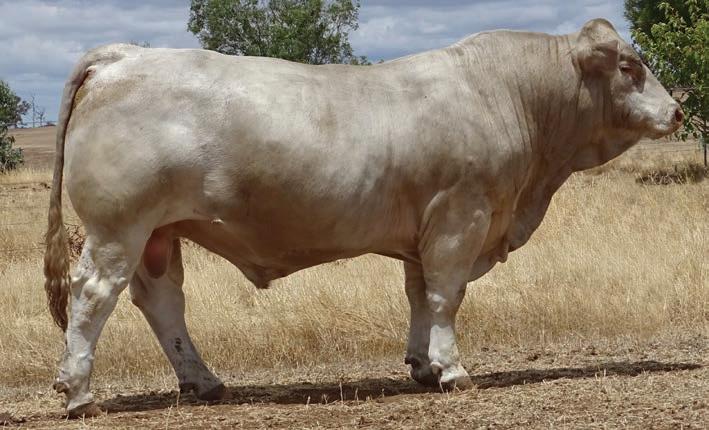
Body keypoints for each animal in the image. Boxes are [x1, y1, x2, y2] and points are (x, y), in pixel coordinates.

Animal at [44, 18, 682, 417]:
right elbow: (446, 295)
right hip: (118, 228)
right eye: (630, 66)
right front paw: (453, 370)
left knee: (161, 302)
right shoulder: (461, 214)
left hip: (158, 233)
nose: (678, 111)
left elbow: (420, 295)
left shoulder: (426, 227)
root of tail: (125, 55)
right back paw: (78, 393)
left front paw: (422, 364)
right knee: (93, 295)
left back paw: (204, 382)